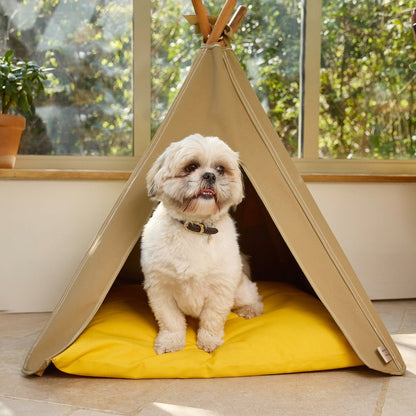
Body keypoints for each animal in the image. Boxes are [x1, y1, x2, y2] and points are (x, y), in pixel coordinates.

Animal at [141, 133, 262, 354]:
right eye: (191, 166)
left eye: (220, 169)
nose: (210, 176)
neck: (195, 227)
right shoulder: (161, 289)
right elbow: (171, 321)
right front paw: (171, 341)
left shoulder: (220, 289)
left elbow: (212, 320)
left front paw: (209, 341)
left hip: (240, 291)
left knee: (254, 296)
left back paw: (250, 309)